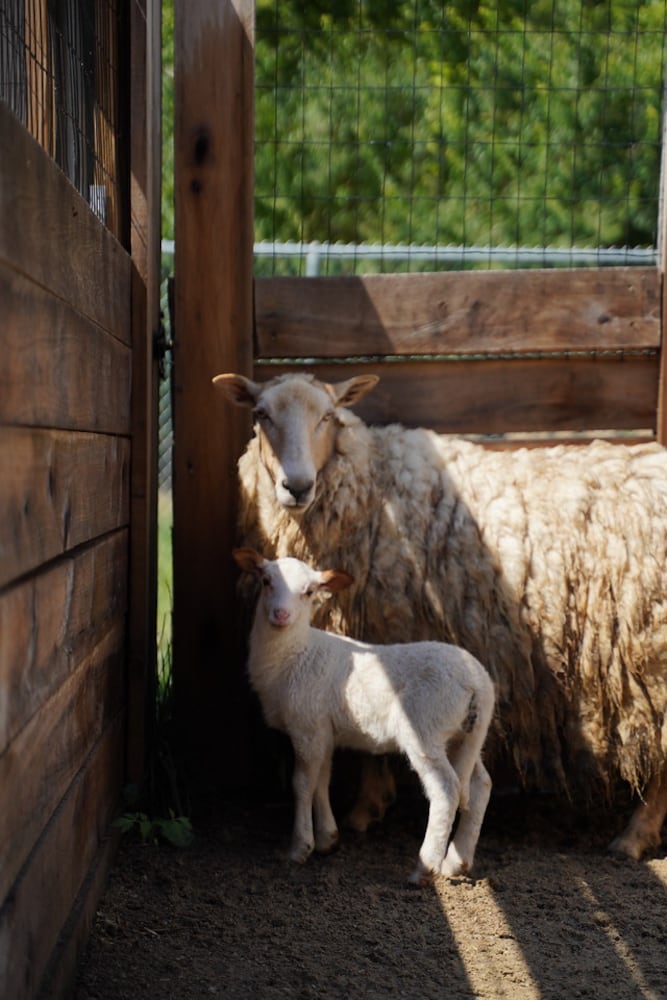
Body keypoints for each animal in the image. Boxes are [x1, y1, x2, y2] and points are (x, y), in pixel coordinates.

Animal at [232, 548, 494, 884]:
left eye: (309, 592)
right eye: (266, 581)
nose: (280, 615)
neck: (293, 654)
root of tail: (477, 682)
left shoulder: (306, 726)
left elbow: (302, 783)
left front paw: (299, 848)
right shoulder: (323, 731)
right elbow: (322, 780)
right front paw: (328, 839)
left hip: (425, 729)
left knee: (447, 790)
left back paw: (425, 868)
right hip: (467, 734)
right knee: (479, 785)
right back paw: (456, 862)